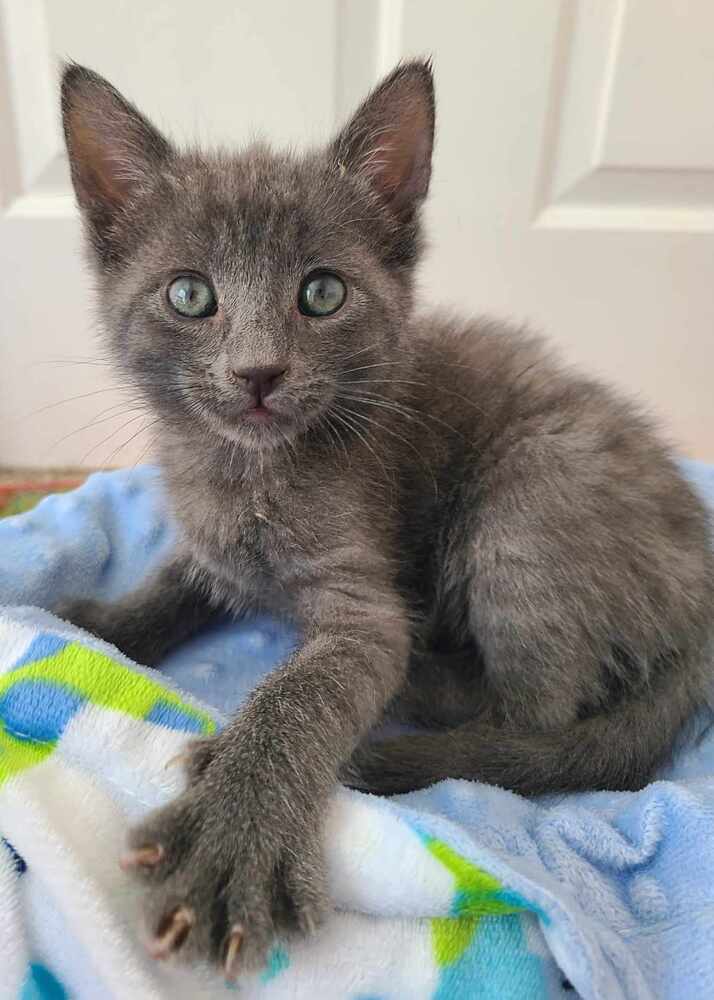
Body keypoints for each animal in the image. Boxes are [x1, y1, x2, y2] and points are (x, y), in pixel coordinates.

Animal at [58, 56, 708, 976]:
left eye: (323, 292)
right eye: (188, 295)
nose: (257, 372)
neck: (249, 473)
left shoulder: (363, 596)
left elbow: (306, 695)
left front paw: (229, 835)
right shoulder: (212, 545)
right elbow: (169, 584)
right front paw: (94, 619)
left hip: (531, 497)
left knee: (537, 720)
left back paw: (426, 694)